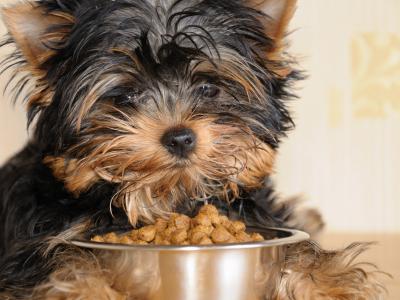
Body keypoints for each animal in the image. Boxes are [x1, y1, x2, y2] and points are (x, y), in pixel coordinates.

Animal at [0, 0, 384, 298]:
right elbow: (62, 258)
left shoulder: (253, 216)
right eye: (125, 98)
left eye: (208, 88)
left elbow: (294, 245)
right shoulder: (35, 239)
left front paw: (330, 283)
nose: (180, 136)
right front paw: (86, 290)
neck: (169, 196)